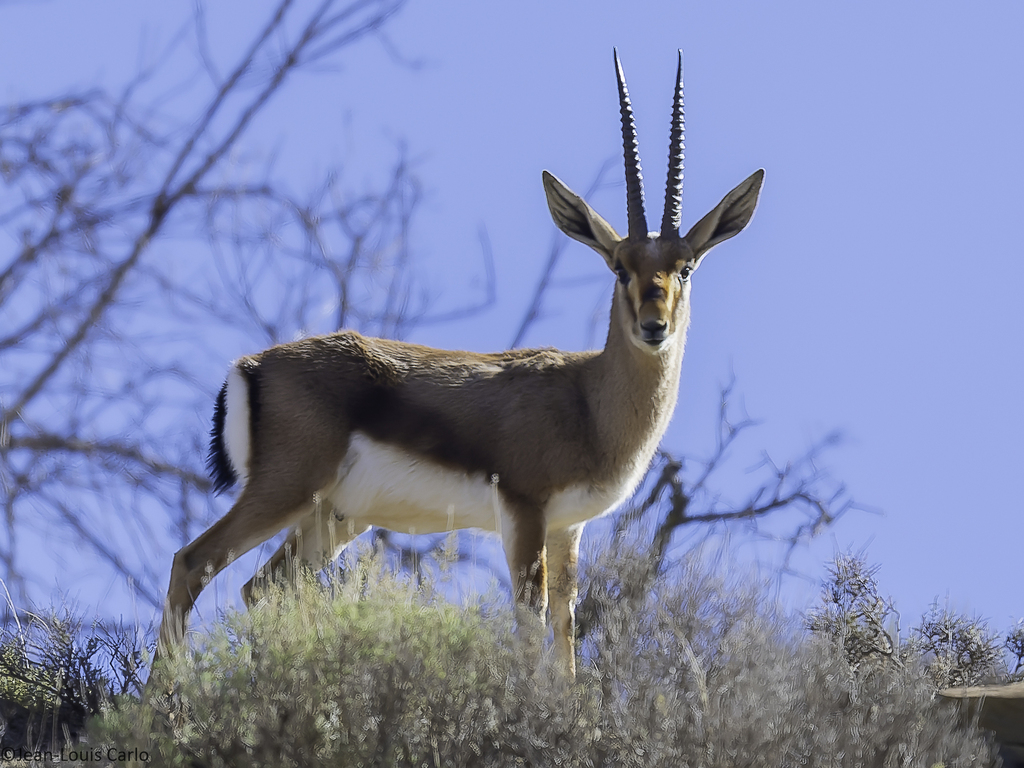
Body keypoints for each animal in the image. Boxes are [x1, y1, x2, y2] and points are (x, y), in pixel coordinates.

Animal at [158, 50, 764, 677]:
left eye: (685, 266)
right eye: (620, 266)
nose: (653, 326)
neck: (588, 401)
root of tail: (251, 364)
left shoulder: (567, 528)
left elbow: (565, 635)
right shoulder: (522, 512)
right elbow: (529, 623)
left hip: (333, 517)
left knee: (260, 588)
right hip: (287, 491)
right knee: (192, 563)